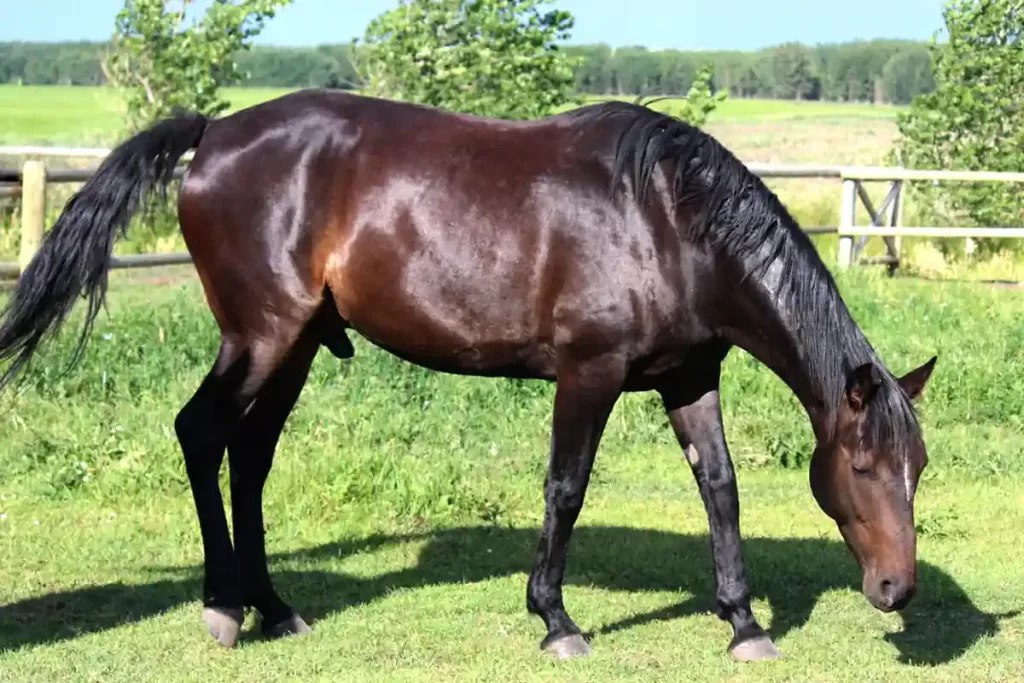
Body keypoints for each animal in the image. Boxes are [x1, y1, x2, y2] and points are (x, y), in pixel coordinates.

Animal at [0, 89, 936, 662]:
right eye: (861, 466)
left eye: (917, 468)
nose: (898, 589)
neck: (668, 219)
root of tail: (215, 133)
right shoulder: (588, 373)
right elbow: (566, 487)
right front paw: (555, 618)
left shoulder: (687, 377)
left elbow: (722, 489)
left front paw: (742, 622)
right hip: (258, 335)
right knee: (202, 434)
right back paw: (224, 607)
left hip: (295, 345)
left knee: (250, 454)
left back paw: (274, 605)